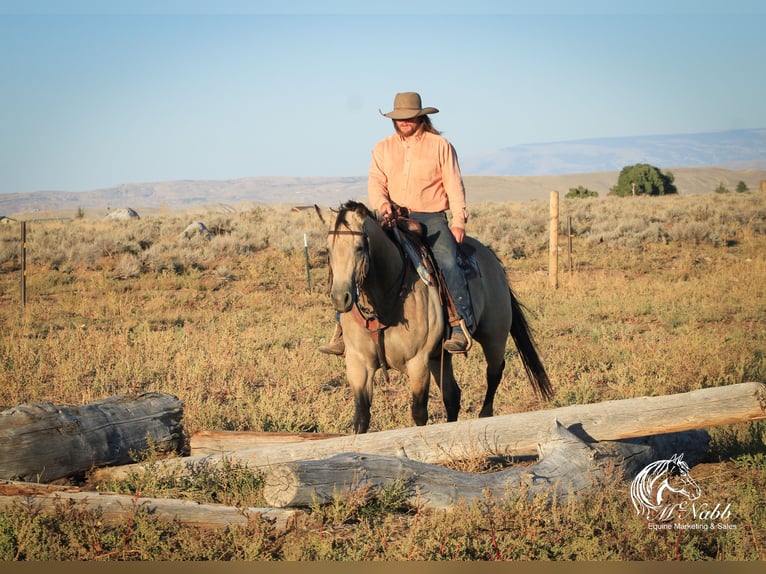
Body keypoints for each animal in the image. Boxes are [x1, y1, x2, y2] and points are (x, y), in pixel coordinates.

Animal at [322, 200, 552, 434]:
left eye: (359, 247)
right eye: (327, 250)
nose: (340, 297)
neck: (384, 302)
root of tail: (491, 256)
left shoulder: (417, 362)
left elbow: (419, 413)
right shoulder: (358, 363)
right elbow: (361, 417)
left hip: (494, 336)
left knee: (494, 372)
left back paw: (485, 414)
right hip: (439, 355)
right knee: (452, 396)